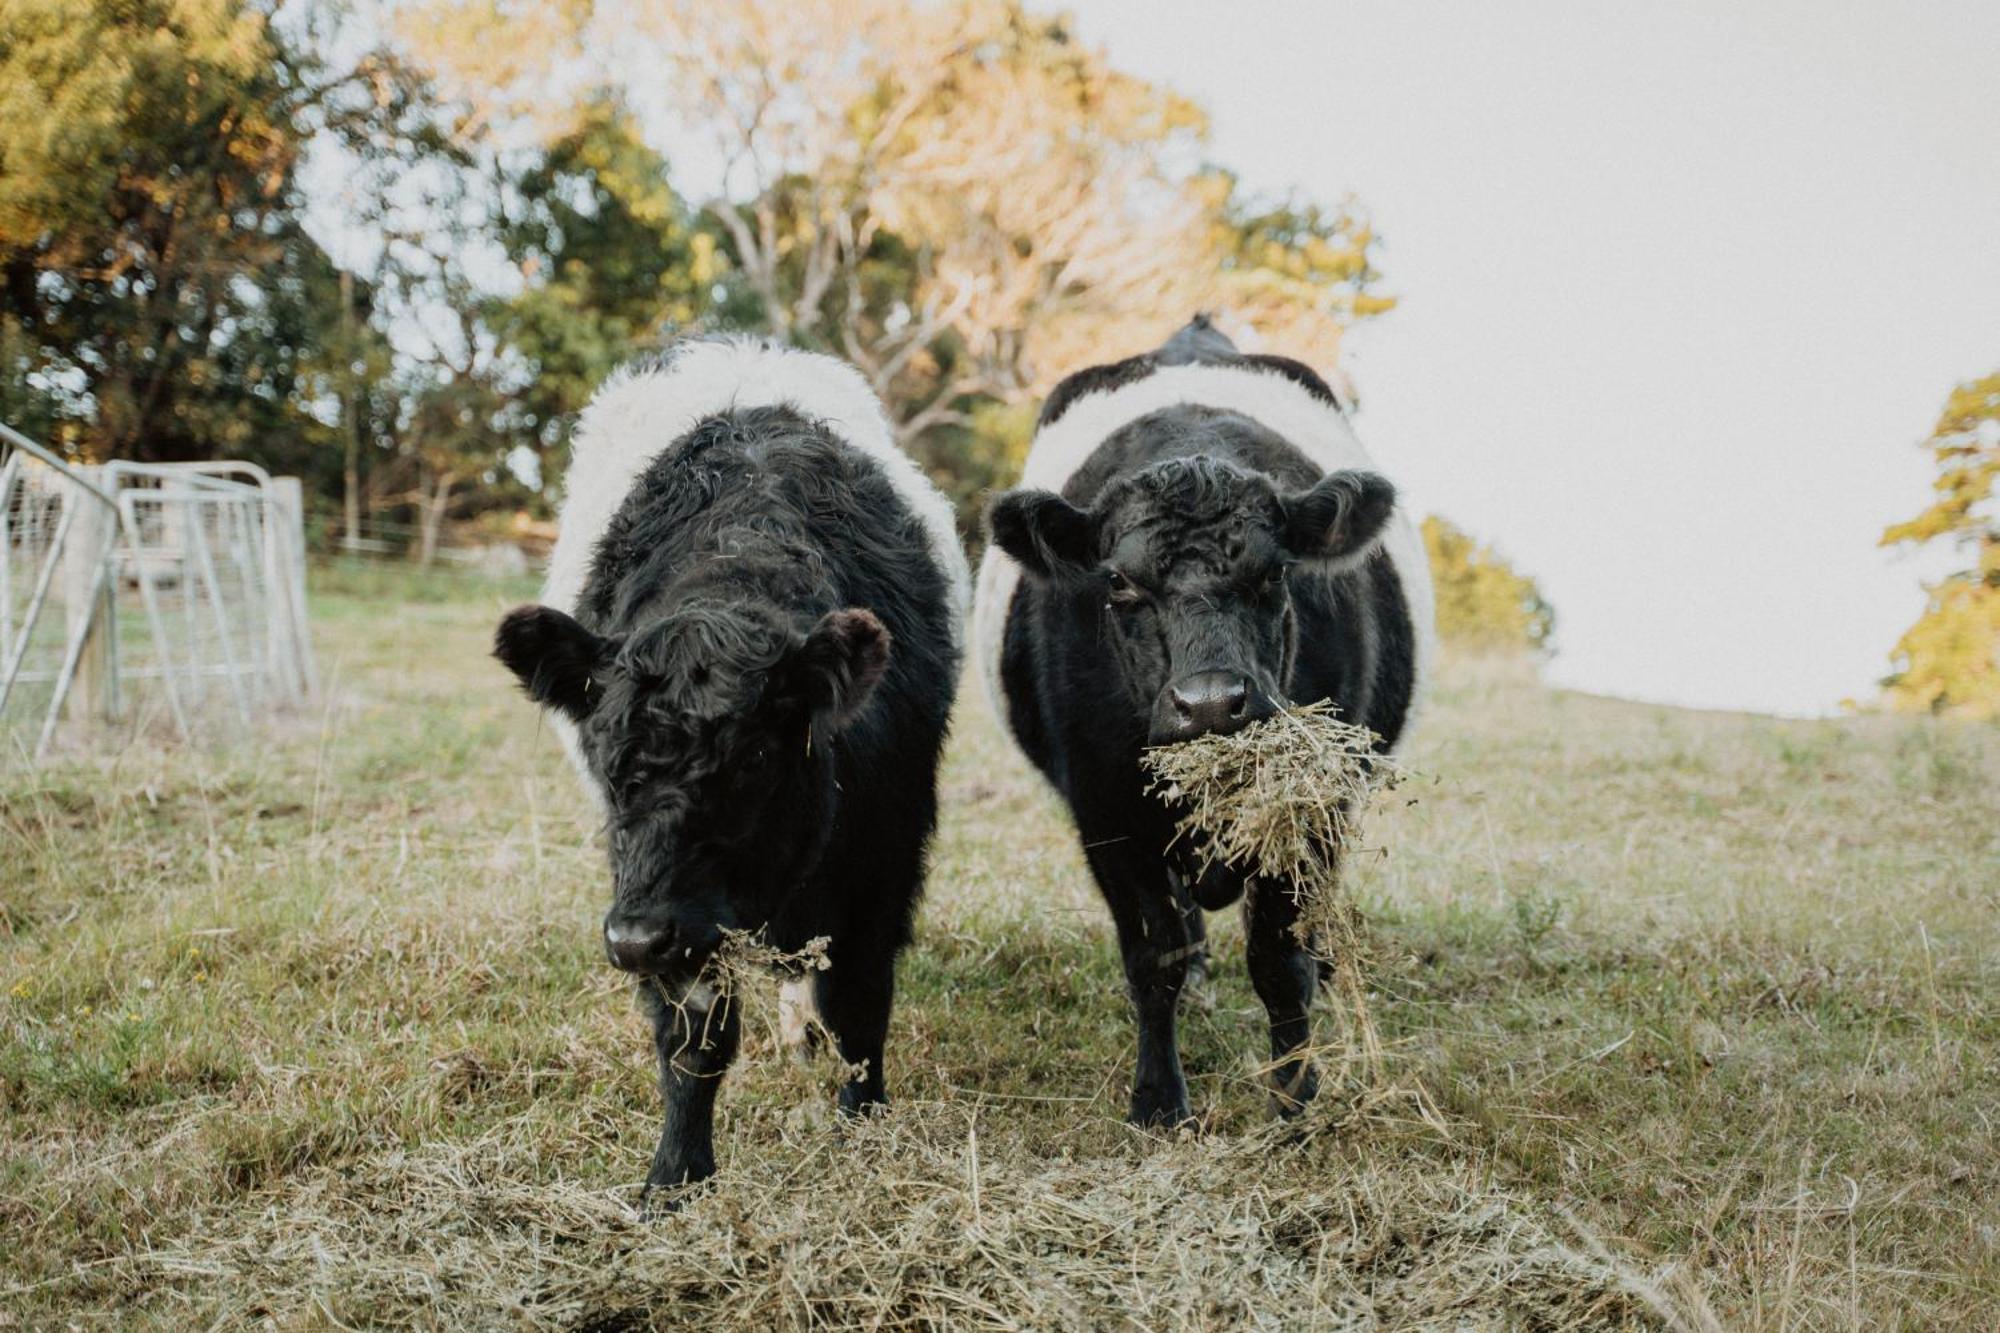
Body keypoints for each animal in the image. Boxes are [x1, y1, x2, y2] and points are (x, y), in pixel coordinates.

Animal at [498, 334, 968, 1192]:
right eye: (603, 752)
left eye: (751, 756)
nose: (635, 940)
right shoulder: (660, 894)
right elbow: (695, 1038)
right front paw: (676, 1174)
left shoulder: (885, 854)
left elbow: (860, 1000)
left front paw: (862, 1121)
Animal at [972, 316, 1432, 1128]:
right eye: (1118, 582)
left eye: (1275, 572)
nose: (1213, 702)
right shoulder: (1106, 810)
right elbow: (1153, 957)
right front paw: (1158, 1099)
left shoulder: (1310, 806)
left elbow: (1278, 962)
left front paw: (1293, 1093)